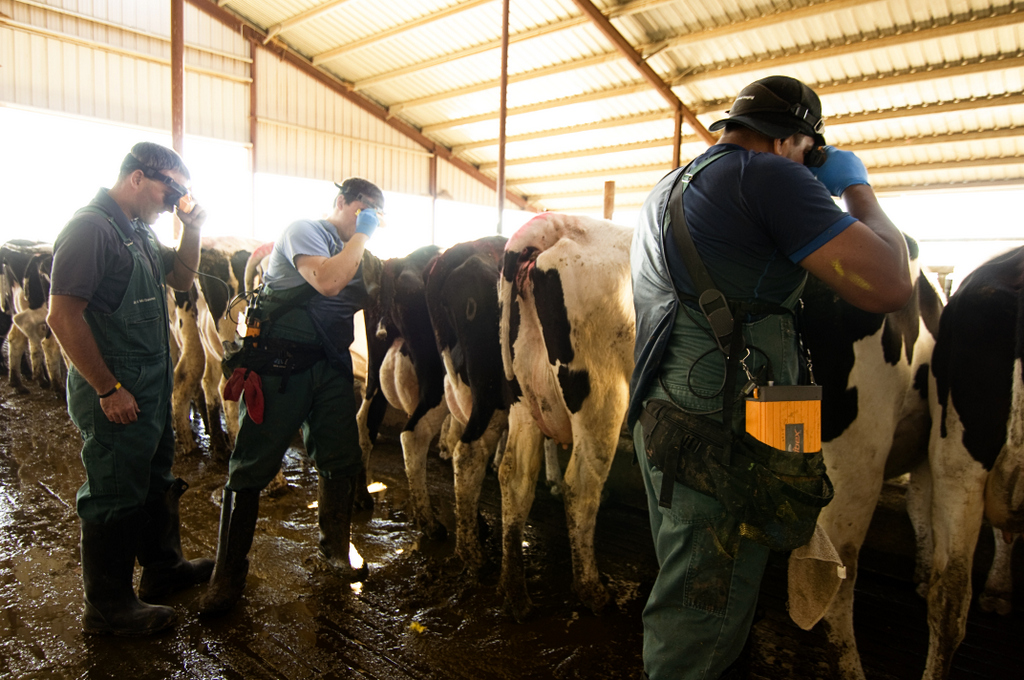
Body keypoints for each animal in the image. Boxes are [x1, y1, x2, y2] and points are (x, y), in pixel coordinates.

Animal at [495, 214, 630, 622]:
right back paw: (592, 590)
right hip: (603, 397)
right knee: (581, 487)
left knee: (515, 478)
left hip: (525, 398)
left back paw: (515, 592)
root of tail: (551, 222)